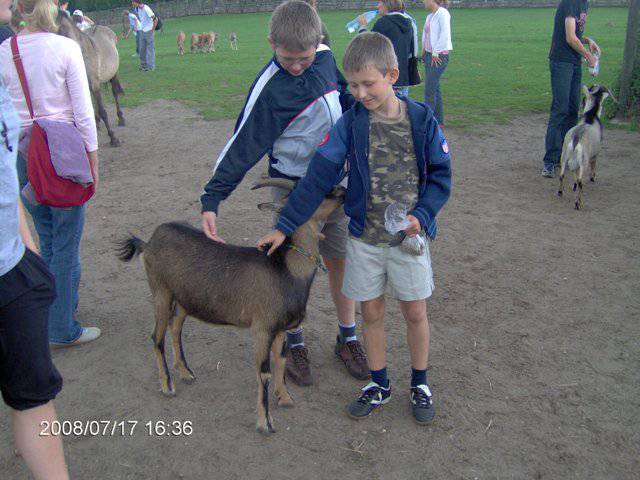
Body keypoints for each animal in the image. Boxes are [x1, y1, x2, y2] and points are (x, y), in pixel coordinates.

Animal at [57, 12, 124, 147]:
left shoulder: (95, 84)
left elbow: (103, 111)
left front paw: (113, 138)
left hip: (112, 74)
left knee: (115, 93)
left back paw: (120, 118)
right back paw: (96, 123)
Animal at [116, 179, 345, 435]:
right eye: (316, 194)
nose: (343, 191)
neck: (286, 270)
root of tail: (148, 242)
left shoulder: (280, 329)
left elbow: (281, 360)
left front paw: (285, 398)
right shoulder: (261, 328)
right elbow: (264, 372)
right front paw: (265, 422)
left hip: (184, 299)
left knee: (175, 328)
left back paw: (186, 373)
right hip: (161, 292)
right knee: (157, 337)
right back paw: (167, 385)